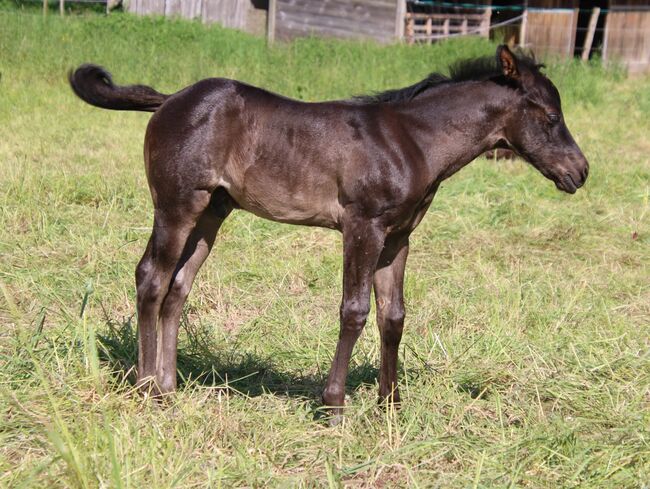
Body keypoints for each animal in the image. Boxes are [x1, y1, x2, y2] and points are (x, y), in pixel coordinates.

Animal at [69, 45, 588, 420]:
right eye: (550, 116)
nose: (579, 172)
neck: (414, 142)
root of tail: (171, 100)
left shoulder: (397, 238)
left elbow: (393, 316)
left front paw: (390, 406)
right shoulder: (362, 227)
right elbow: (354, 311)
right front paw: (334, 405)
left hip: (213, 212)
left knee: (178, 286)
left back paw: (168, 386)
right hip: (177, 204)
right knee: (152, 278)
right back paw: (146, 391)